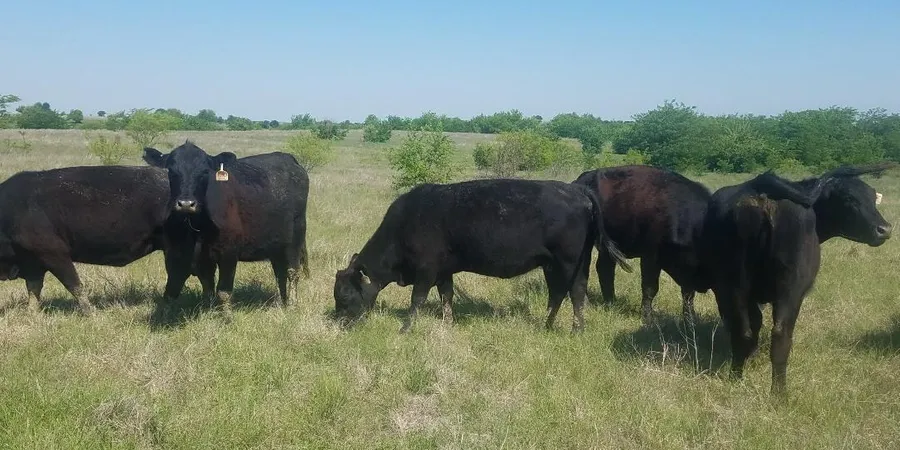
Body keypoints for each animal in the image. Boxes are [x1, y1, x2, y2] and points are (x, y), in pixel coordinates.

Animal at [0, 165, 213, 314]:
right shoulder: (32, 261)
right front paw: (31, 312)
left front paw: (90, 312)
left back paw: (167, 306)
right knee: (204, 275)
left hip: (177, 249)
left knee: (179, 275)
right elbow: (33, 289)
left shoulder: (54, 254)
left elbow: (74, 285)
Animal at [142, 141, 310, 321]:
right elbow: (195, 287)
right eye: (171, 171)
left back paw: (292, 304)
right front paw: (207, 311)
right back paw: (281, 302)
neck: (196, 227)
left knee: (292, 272)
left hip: (296, 237)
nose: (186, 203)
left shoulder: (229, 253)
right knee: (279, 273)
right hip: (275, 244)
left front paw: (227, 317)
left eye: (205, 172)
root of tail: (288, 158)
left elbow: (223, 291)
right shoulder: (184, 254)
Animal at [332, 178, 633, 333]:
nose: (340, 324)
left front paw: (405, 328)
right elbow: (447, 296)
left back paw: (575, 330)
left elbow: (417, 299)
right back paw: (547, 326)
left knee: (576, 292)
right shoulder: (444, 272)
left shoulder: (426, 270)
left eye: (344, 295)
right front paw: (448, 324)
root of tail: (577, 189)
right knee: (558, 293)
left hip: (570, 262)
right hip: (554, 264)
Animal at [572, 165, 711, 324]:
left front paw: (691, 319)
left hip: (607, 248)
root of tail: (580, 181)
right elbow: (650, 287)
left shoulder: (686, 268)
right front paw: (648, 318)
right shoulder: (650, 257)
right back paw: (587, 303)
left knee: (604, 269)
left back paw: (611, 302)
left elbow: (688, 293)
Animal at [699, 163, 893, 396]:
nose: (884, 229)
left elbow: (753, 326)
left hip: (733, 284)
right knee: (780, 336)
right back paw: (779, 394)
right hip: (790, 289)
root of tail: (762, 192)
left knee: (743, 332)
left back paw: (736, 379)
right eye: (849, 199)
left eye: (873, 197)